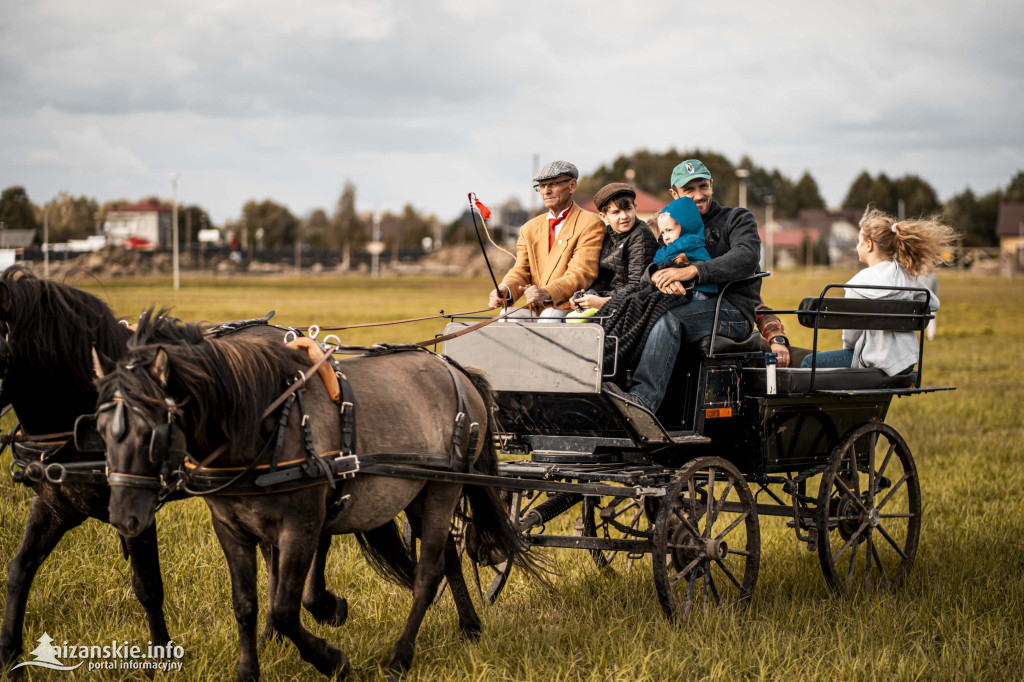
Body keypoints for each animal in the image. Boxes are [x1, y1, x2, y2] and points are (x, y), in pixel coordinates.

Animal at [94, 311, 536, 675]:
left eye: (154, 432)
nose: (123, 518)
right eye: (98, 427)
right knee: (448, 558)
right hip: (419, 494)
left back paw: (400, 657)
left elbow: (285, 608)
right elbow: (246, 604)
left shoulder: (301, 526)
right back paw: (469, 628)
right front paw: (249, 669)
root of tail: (454, 369)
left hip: (444, 490)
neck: (264, 423)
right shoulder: (231, 529)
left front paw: (332, 658)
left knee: (427, 574)